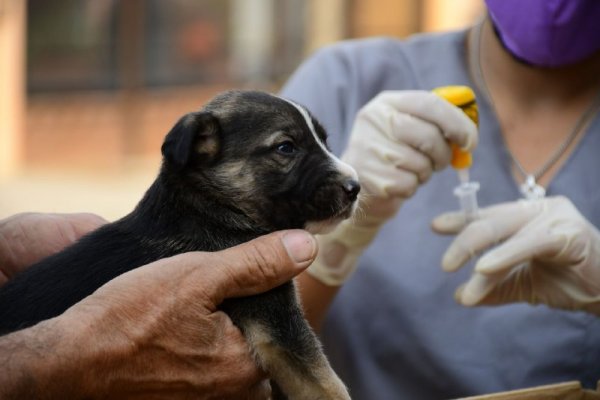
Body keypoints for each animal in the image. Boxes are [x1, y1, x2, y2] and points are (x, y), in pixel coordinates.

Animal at [0, 90, 358, 400]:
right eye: (286, 148)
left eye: (324, 141)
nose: (355, 187)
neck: (211, 206)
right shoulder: (277, 322)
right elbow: (326, 385)